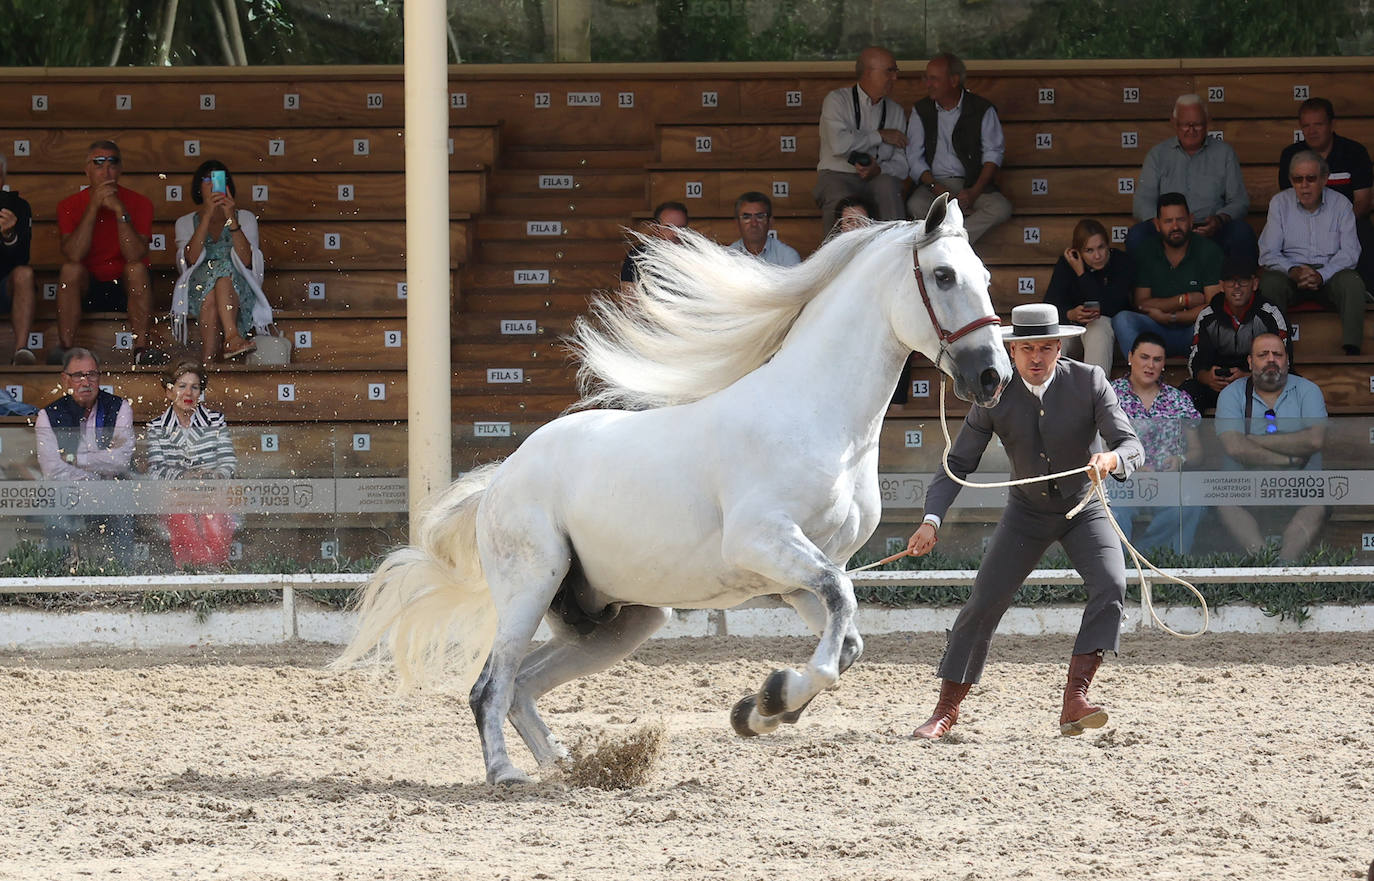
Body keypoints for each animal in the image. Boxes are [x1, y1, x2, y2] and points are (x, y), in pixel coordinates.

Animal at [339, 193, 1016, 780]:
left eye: (984, 274)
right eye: (945, 275)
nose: (993, 377)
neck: (818, 416)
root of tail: (503, 476)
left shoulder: (799, 573)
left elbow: (847, 638)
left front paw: (762, 708)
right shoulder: (764, 543)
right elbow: (840, 619)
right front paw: (772, 700)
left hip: (621, 619)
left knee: (524, 684)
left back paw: (566, 766)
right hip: (530, 587)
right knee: (490, 686)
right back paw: (507, 774)